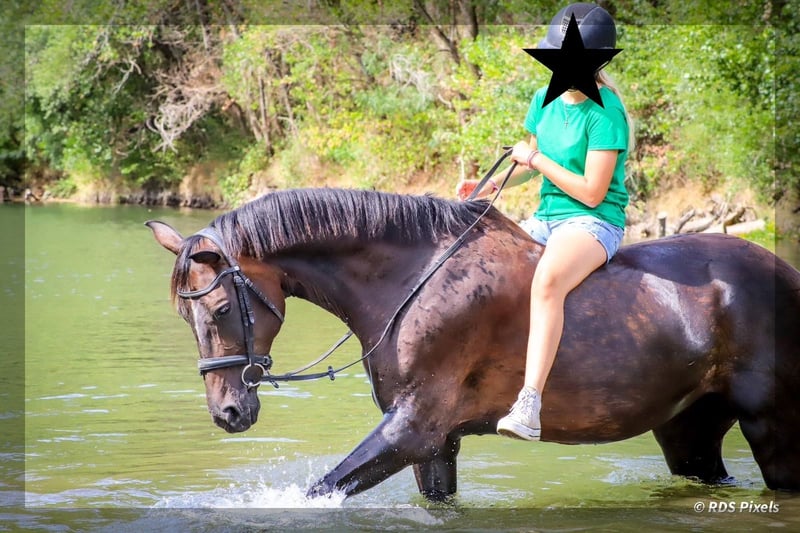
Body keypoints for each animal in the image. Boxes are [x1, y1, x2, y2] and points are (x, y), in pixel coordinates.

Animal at [147, 187, 800, 501]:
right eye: (185, 316)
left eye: (221, 309)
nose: (227, 413)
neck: (411, 280)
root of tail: (783, 272)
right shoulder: (436, 444)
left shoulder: (413, 428)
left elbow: (318, 491)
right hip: (689, 430)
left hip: (773, 427)